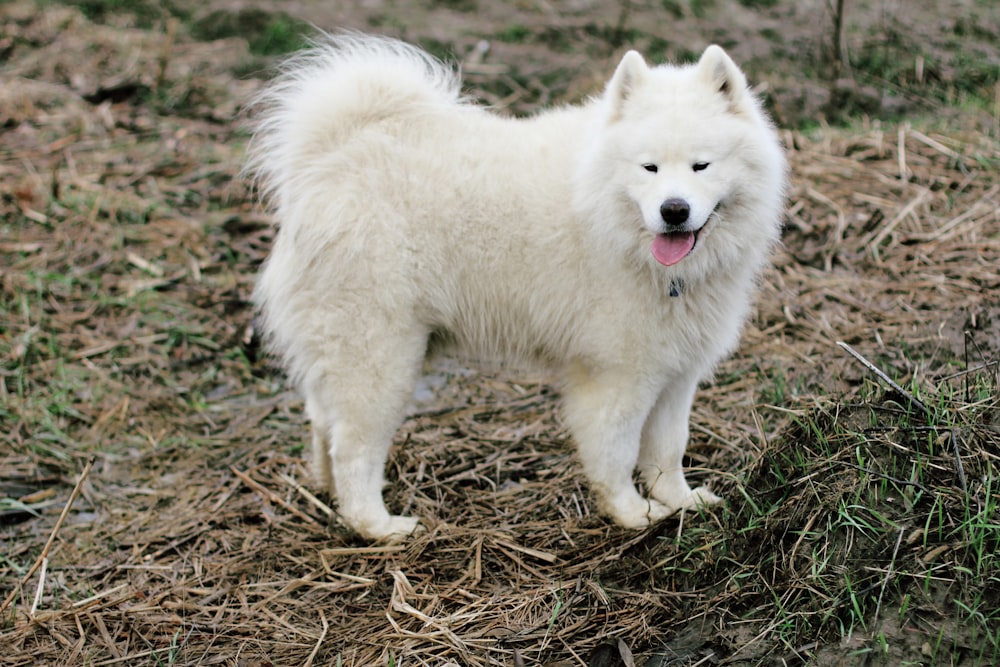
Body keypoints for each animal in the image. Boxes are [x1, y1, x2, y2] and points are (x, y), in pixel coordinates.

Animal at [246, 32, 784, 544]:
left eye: (701, 166)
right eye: (648, 167)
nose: (673, 210)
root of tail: (329, 162)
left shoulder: (674, 371)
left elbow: (668, 449)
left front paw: (681, 501)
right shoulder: (617, 376)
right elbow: (616, 452)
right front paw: (633, 513)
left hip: (341, 350)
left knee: (323, 424)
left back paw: (327, 492)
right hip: (382, 359)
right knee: (353, 448)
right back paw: (377, 525)